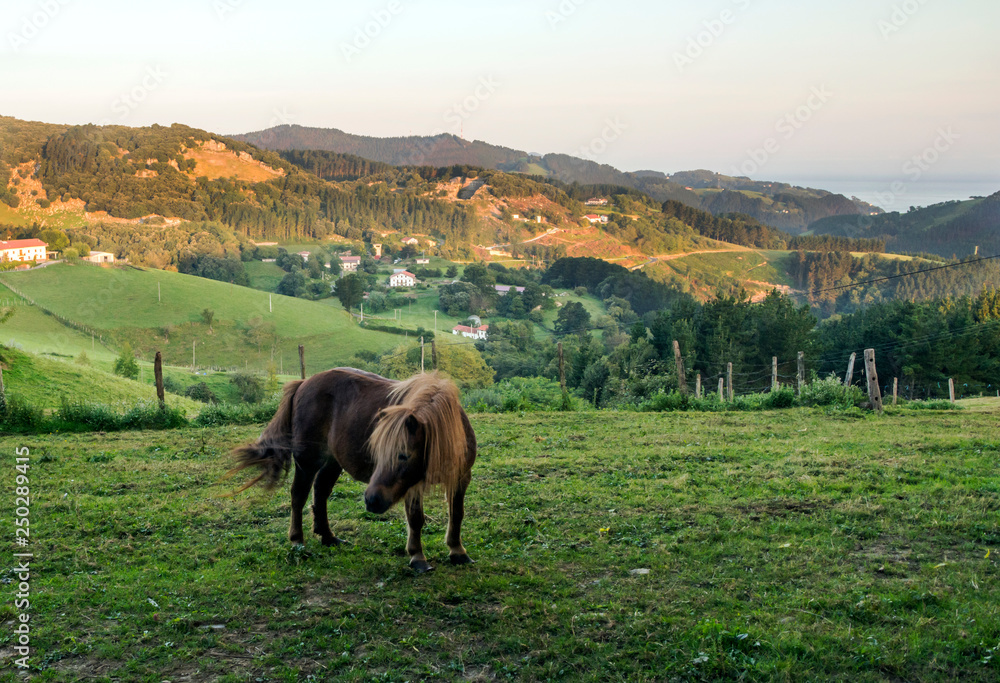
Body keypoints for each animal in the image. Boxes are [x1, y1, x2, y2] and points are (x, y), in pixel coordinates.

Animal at [228, 368, 476, 572]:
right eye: (377, 453)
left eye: (403, 455)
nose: (372, 500)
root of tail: (303, 383)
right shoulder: (413, 486)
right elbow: (416, 519)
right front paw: (418, 557)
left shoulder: (461, 478)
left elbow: (457, 514)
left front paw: (457, 551)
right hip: (308, 461)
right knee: (298, 495)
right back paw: (298, 540)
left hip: (332, 461)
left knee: (321, 491)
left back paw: (328, 537)